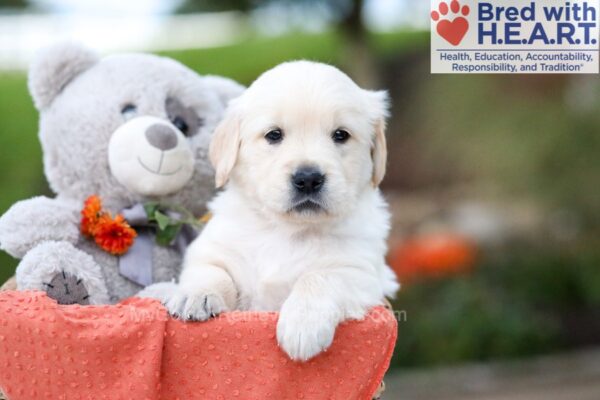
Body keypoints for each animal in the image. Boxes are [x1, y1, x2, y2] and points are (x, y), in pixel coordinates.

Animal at [159, 61, 398, 360]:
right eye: (274, 135)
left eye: (341, 135)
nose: (308, 178)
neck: (287, 230)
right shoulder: (210, 251)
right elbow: (212, 272)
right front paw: (195, 295)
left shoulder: (362, 272)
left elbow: (320, 276)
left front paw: (303, 324)